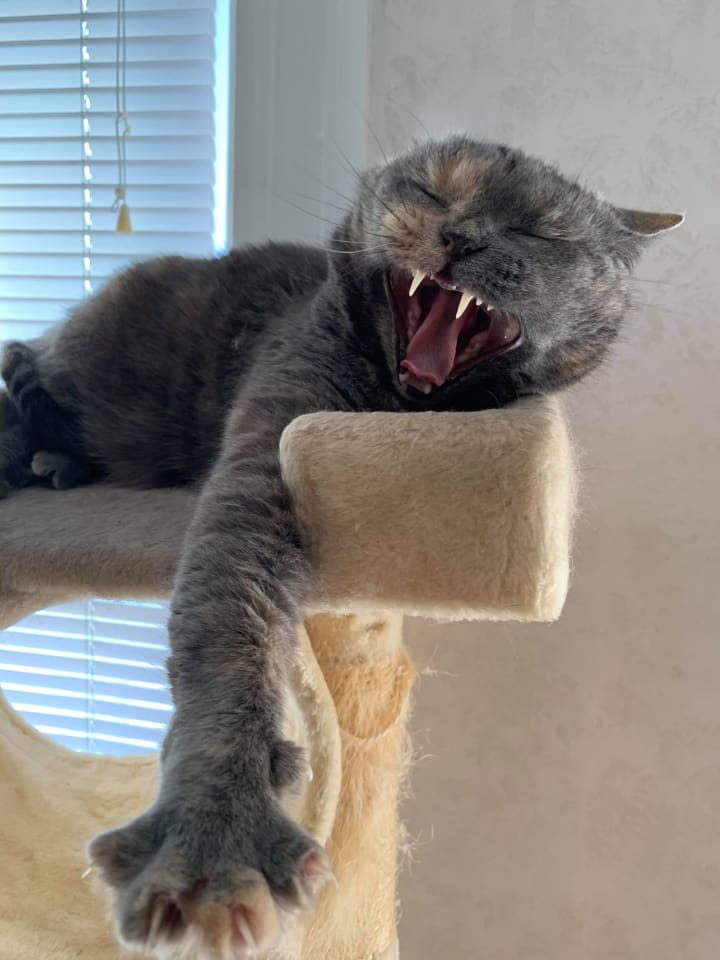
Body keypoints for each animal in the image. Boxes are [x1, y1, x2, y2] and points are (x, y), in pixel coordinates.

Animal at [0, 136, 682, 958]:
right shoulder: (264, 456)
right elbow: (228, 638)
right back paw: (34, 452)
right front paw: (213, 842)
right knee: (26, 370)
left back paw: (52, 464)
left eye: (539, 232)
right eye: (432, 188)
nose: (461, 236)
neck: (393, 407)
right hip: (97, 352)